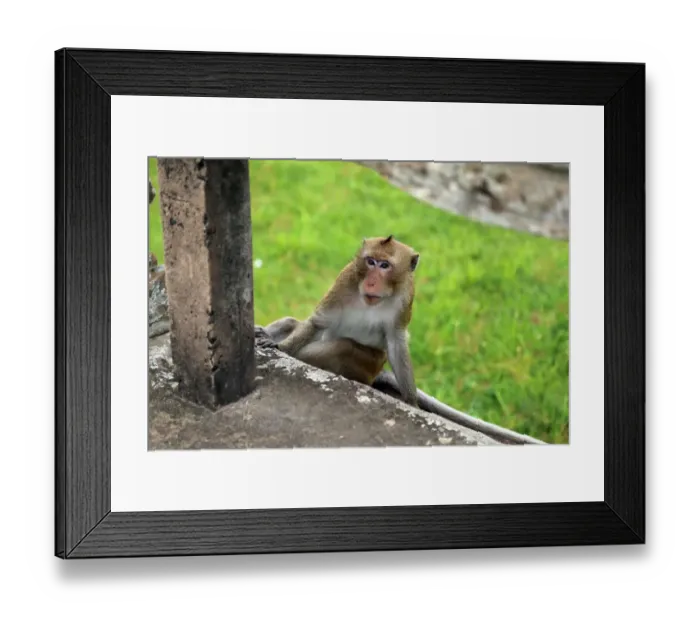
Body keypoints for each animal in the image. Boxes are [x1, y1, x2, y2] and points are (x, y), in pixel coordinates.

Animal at [257, 235, 420, 406]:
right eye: (370, 261)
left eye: (384, 265)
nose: (371, 283)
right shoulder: (346, 279)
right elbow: (318, 321)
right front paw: (280, 346)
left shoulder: (406, 295)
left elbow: (396, 342)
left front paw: (411, 401)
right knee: (293, 323)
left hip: (372, 365)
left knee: (343, 346)